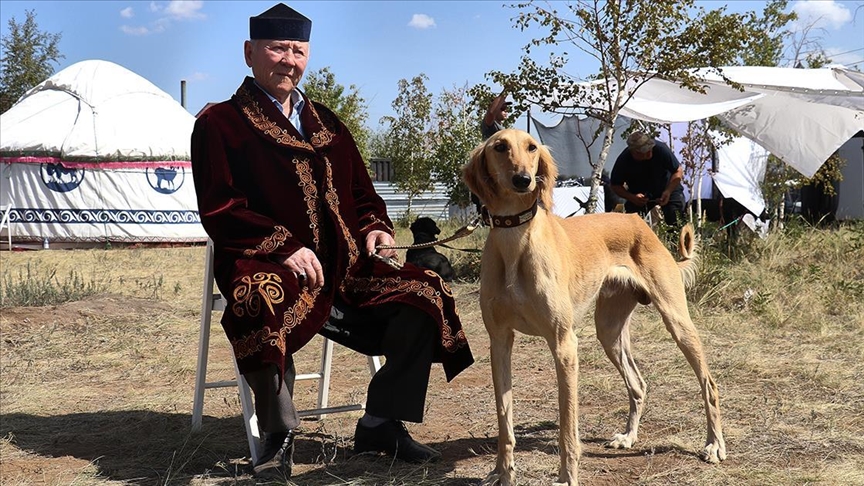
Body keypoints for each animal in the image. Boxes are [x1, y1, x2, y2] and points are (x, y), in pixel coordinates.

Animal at [462, 129, 724, 486]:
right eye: (499, 147)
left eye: (532, 147)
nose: (523, 180)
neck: (516, 240)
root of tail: (640, 222)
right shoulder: (499, 341)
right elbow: (504, 421)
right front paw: (503, 472)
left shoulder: (564, 345)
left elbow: (567, 426)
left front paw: (567, 476)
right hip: (610, 330)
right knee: (638, 384)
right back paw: (628, 437)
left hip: (677, 320)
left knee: (708, 384)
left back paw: (714, 445)